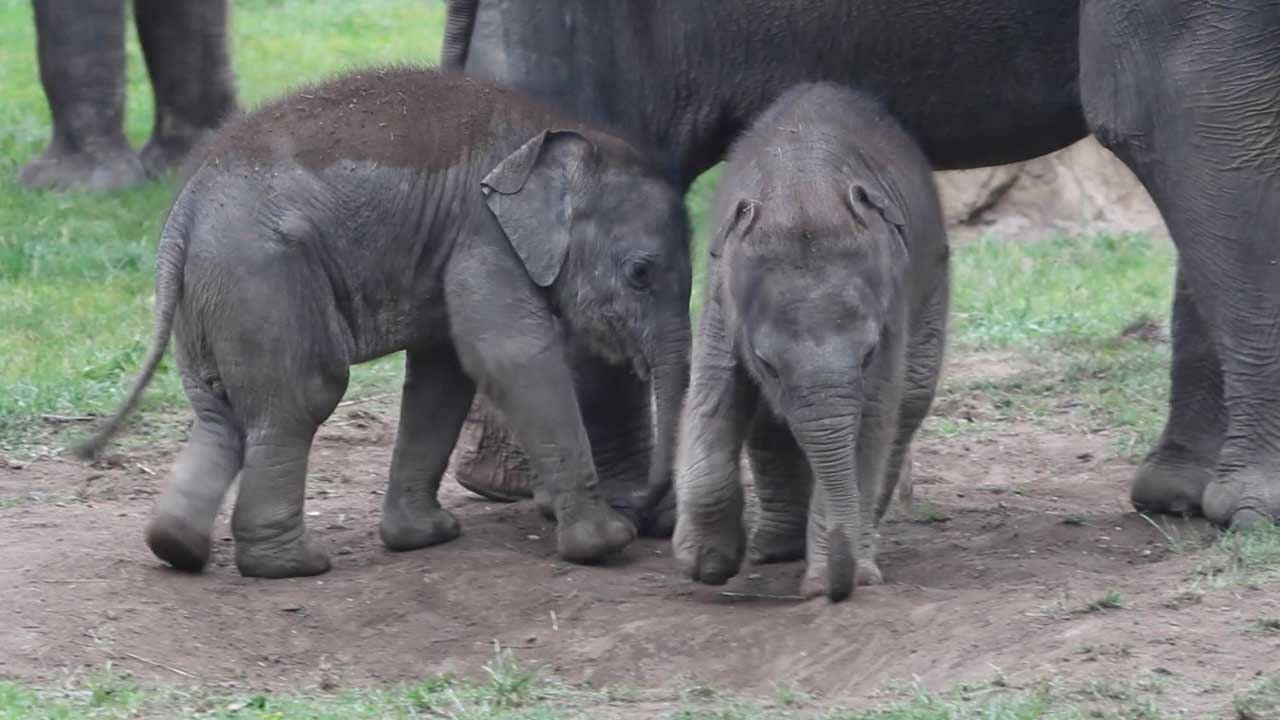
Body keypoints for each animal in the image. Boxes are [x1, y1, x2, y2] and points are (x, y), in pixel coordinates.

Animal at [74, 67, 693, 579]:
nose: (643, 507)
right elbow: (510, 356)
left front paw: (425, 537)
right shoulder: (483, 235)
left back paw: (176, 548)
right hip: (262, 280)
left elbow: (446, 371)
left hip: (210, 296)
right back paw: (292, 566)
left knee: (218, 413)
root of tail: (184, 209)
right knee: (301, 398)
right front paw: (606, 542)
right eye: (640, 274)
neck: (555, 136)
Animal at [672, 83, 949, 602]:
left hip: (936, 279)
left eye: (867, 354)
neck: (803, 192)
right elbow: (712, 394)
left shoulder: (894, 307)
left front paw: (832, 580)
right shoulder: (720, 296)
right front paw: (707, 566)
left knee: (909, 402)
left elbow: (873, 419)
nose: (834, 591)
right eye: (767, 364)